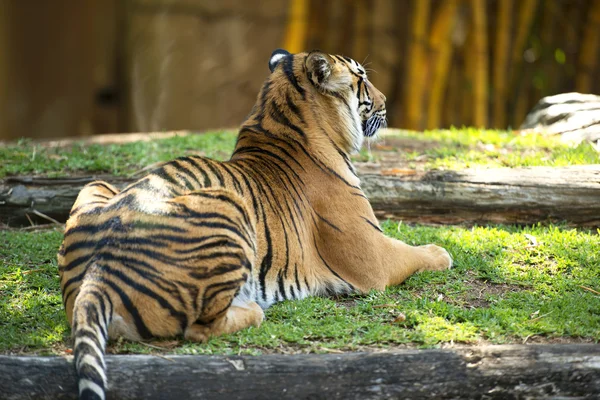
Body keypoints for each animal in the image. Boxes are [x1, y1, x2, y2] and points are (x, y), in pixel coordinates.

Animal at [58, 50, 452, 400]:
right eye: (362, 79)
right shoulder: (371, 259)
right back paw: (252, 309)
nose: (386, 104)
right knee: (200, 328)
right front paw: (443, 252)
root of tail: (98, 272)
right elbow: (418, 253)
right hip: (227, 206)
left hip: (95, 185)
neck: (277, 119)